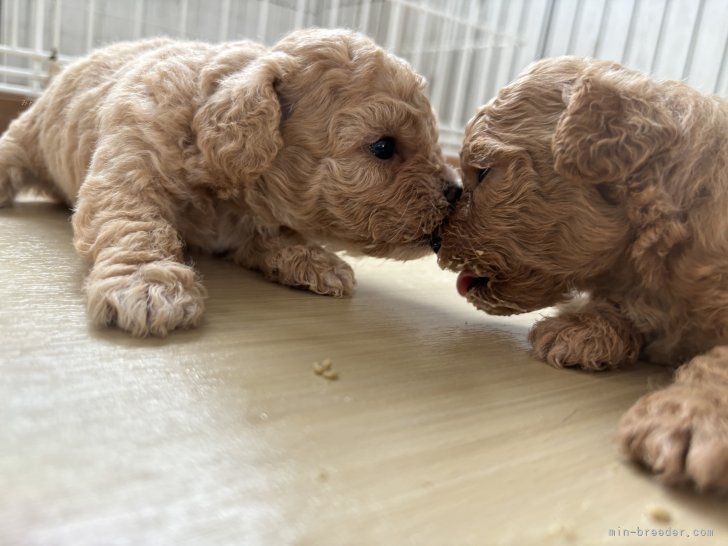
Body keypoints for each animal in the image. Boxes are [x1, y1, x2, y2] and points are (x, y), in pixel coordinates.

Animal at [0, 29, 460, 338]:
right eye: (383, 146)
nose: (456, 191)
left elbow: (272, 236)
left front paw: (315, 261)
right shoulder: (130, 169)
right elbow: (138, 225)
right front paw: (148, 284)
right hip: (31, 135)